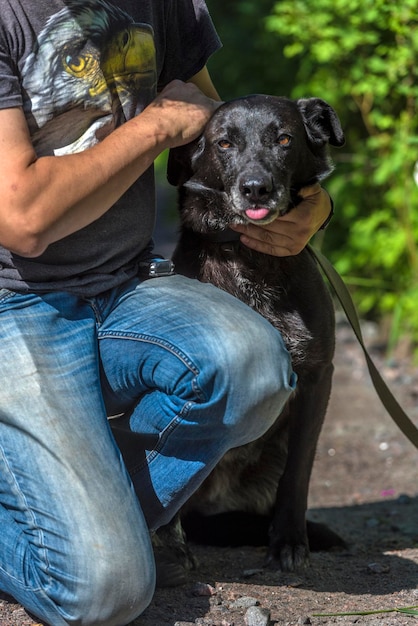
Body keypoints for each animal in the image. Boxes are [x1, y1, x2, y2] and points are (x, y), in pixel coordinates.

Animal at [153, 94, 346, 580]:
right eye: (224, 143)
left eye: (284, 139)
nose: (256, 188)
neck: (252, 257)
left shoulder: (317, 376)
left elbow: (298, 473)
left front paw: (289, 541)